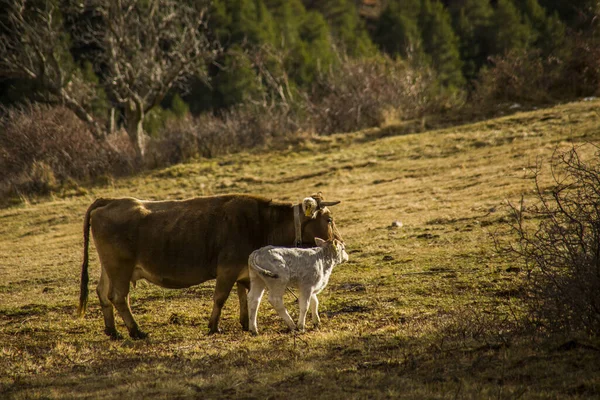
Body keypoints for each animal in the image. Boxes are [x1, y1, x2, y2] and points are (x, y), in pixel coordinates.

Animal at [78, 192, 342, 340]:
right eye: (329, 219)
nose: (340, 241)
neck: (262, 223)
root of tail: (109, 201)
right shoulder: (226, 269)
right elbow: (220, 297)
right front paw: (214, 327)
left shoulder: (244, 272)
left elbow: (244, 295)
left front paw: (245, 323)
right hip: (120, 268)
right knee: (118, 297)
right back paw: (136, 331)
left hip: (109, 269)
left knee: (102, 293)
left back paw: (113, 331)